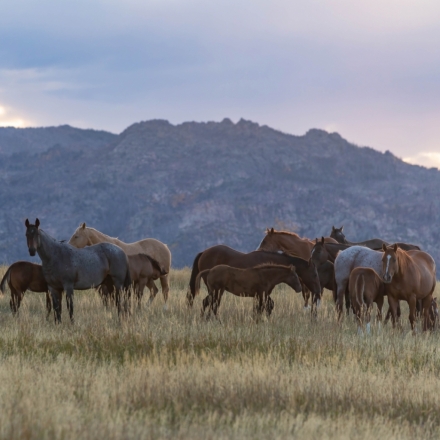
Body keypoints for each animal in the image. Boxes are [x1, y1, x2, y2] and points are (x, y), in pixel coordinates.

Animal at [187, 244, 322, 312]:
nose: (318, 291)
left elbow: (266, 306)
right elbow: (263, 306)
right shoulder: (262, 292)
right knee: (210, 303)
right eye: (315, 274)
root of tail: (203, 253)